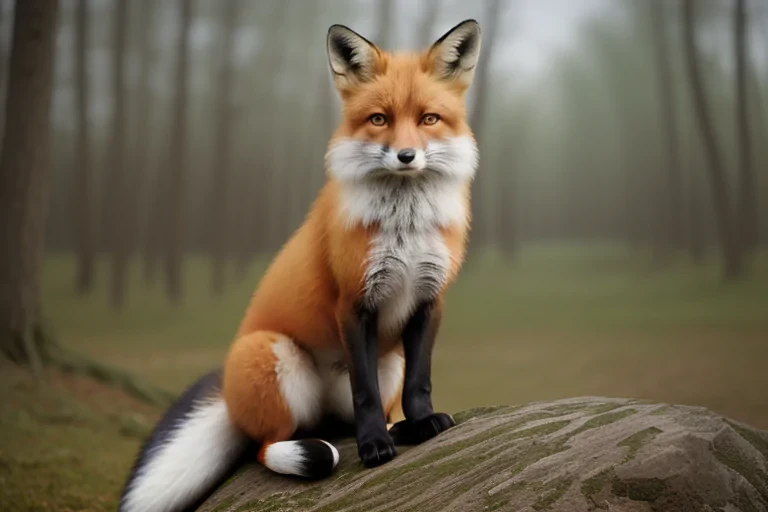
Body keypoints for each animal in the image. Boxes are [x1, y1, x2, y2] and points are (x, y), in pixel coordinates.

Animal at [118, 19, 482, 512]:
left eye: (429, 119)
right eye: (379, 119)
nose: (406, 156)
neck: (404, 227)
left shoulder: (429, 299)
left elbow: (420, 383)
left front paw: (420, 421)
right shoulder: (353, 301)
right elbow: (365, 393)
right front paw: (373, 447)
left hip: (389, 362)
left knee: (346, 422)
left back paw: (399, 428)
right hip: (273, 355)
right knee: (266, 447)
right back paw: (317, 449)